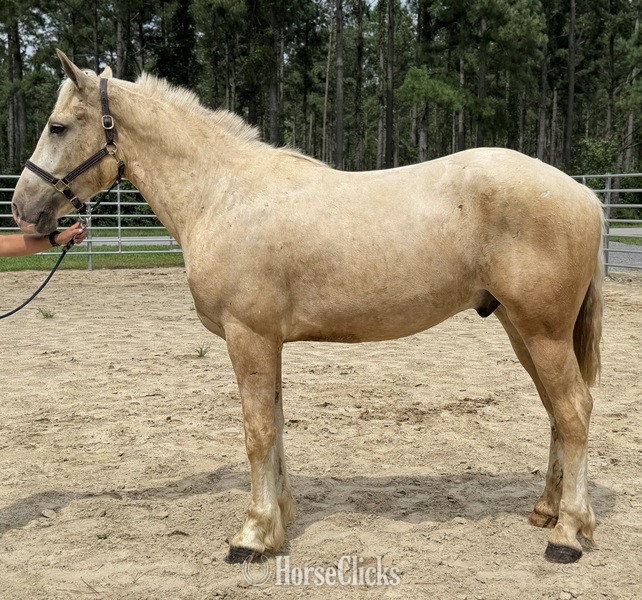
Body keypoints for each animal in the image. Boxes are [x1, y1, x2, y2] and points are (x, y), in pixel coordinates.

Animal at [11, 50, 604, 565]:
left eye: (57, 127)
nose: (21, 208)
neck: (224, 194)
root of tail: (584, 195)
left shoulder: (248, 336)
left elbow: (257, 432)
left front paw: (251, 536)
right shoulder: (265, 341)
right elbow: (274, 425)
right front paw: (279, 520)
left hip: (542, 331)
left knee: (574, 410)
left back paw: (568, 534)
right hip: (521, 329)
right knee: (557, 412)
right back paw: (547, 512)